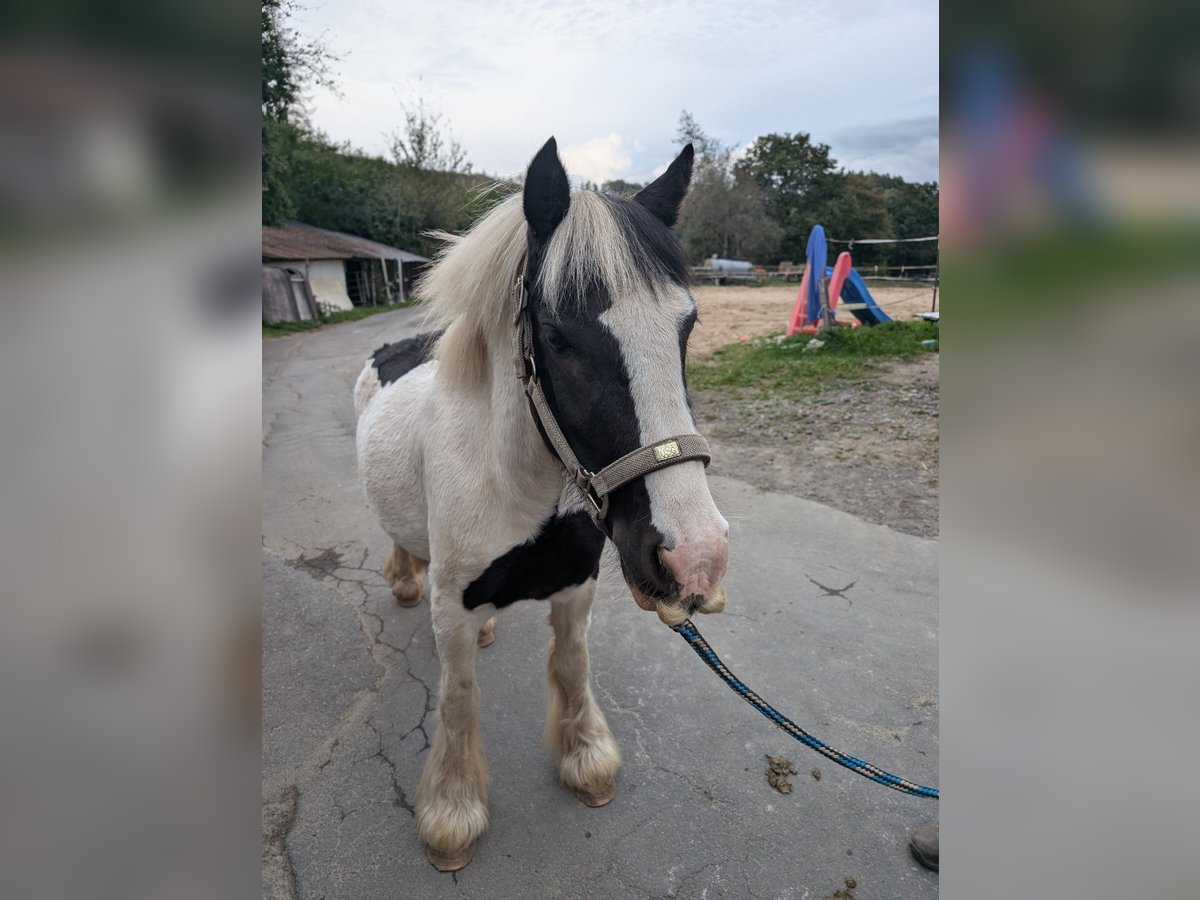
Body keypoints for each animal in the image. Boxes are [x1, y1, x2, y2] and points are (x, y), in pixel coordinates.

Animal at [352, 139, 729, 873]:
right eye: (557, 338)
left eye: (688, 326)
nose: (695, 559)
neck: (515, 489)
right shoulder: (453, 610)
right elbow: (458, 699)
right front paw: (452, 814)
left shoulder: (576, 588)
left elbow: (571, 667)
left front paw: (587, 763)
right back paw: (406, 580)